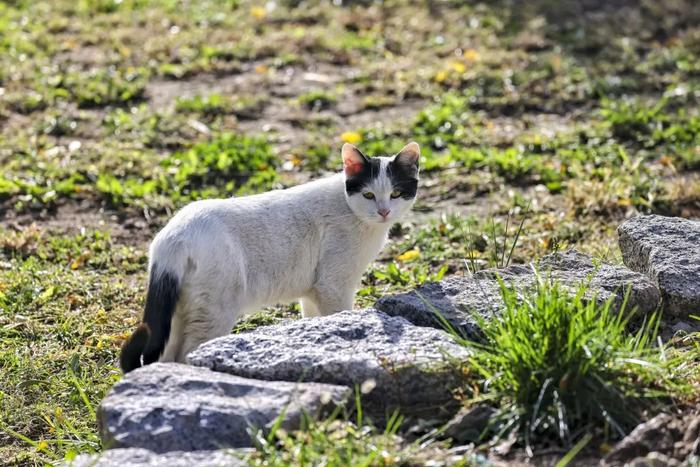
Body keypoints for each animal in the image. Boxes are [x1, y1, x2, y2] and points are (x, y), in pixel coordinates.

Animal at [119, 142, 422, 372]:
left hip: (179, 314)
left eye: (396, 193)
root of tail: (173, 236)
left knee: (166, 356)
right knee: (187, 353)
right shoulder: (334, 286)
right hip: (213, 313)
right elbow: (339, 316)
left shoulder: (314, 292)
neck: (355, 214)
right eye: (368, 195)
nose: (384, 211)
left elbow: (315, 322)